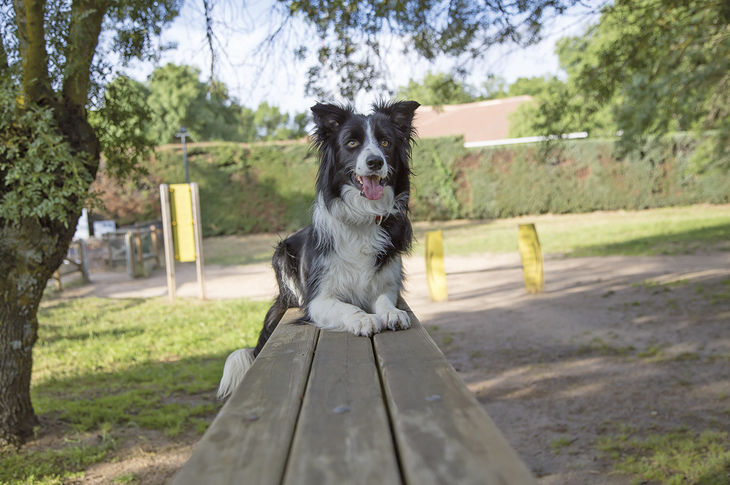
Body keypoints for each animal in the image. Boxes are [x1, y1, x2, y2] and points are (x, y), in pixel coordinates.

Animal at [216, 100, 418, 398]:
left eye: (385, 142)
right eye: (352, 142)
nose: (375, 161)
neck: (362, 217)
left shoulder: (388, 283)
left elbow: (383, 299)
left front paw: (391, 313)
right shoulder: (319, 300)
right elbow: (347, 307)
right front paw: (363, 319)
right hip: (281, 253)